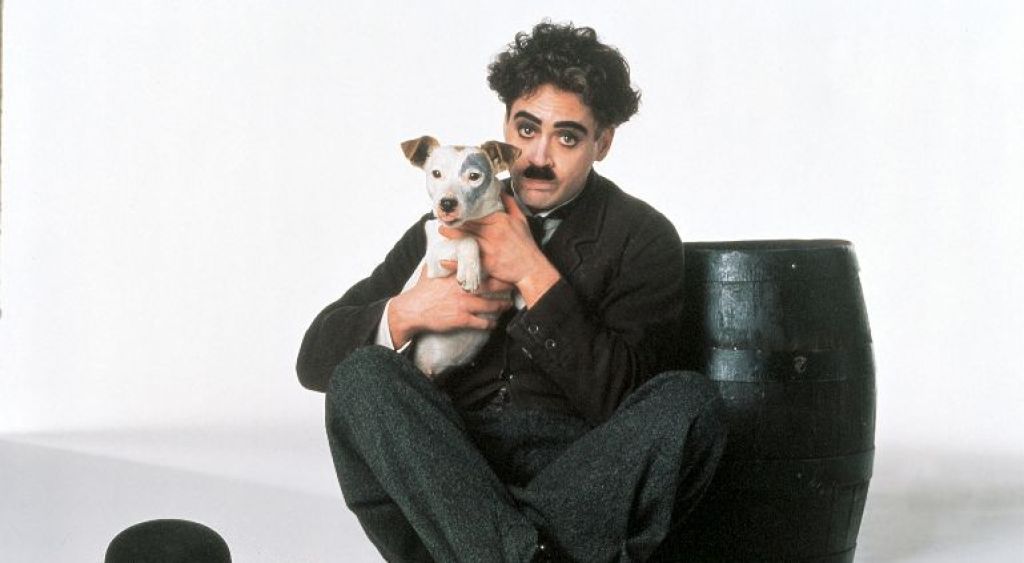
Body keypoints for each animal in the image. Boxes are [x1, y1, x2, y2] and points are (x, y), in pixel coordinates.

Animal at [399, 135, 521, 378]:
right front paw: (470, 271)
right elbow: (466, 240)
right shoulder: (435, 265)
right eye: (436, 173)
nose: (446, 204)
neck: (474, 224)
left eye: (474, 176)